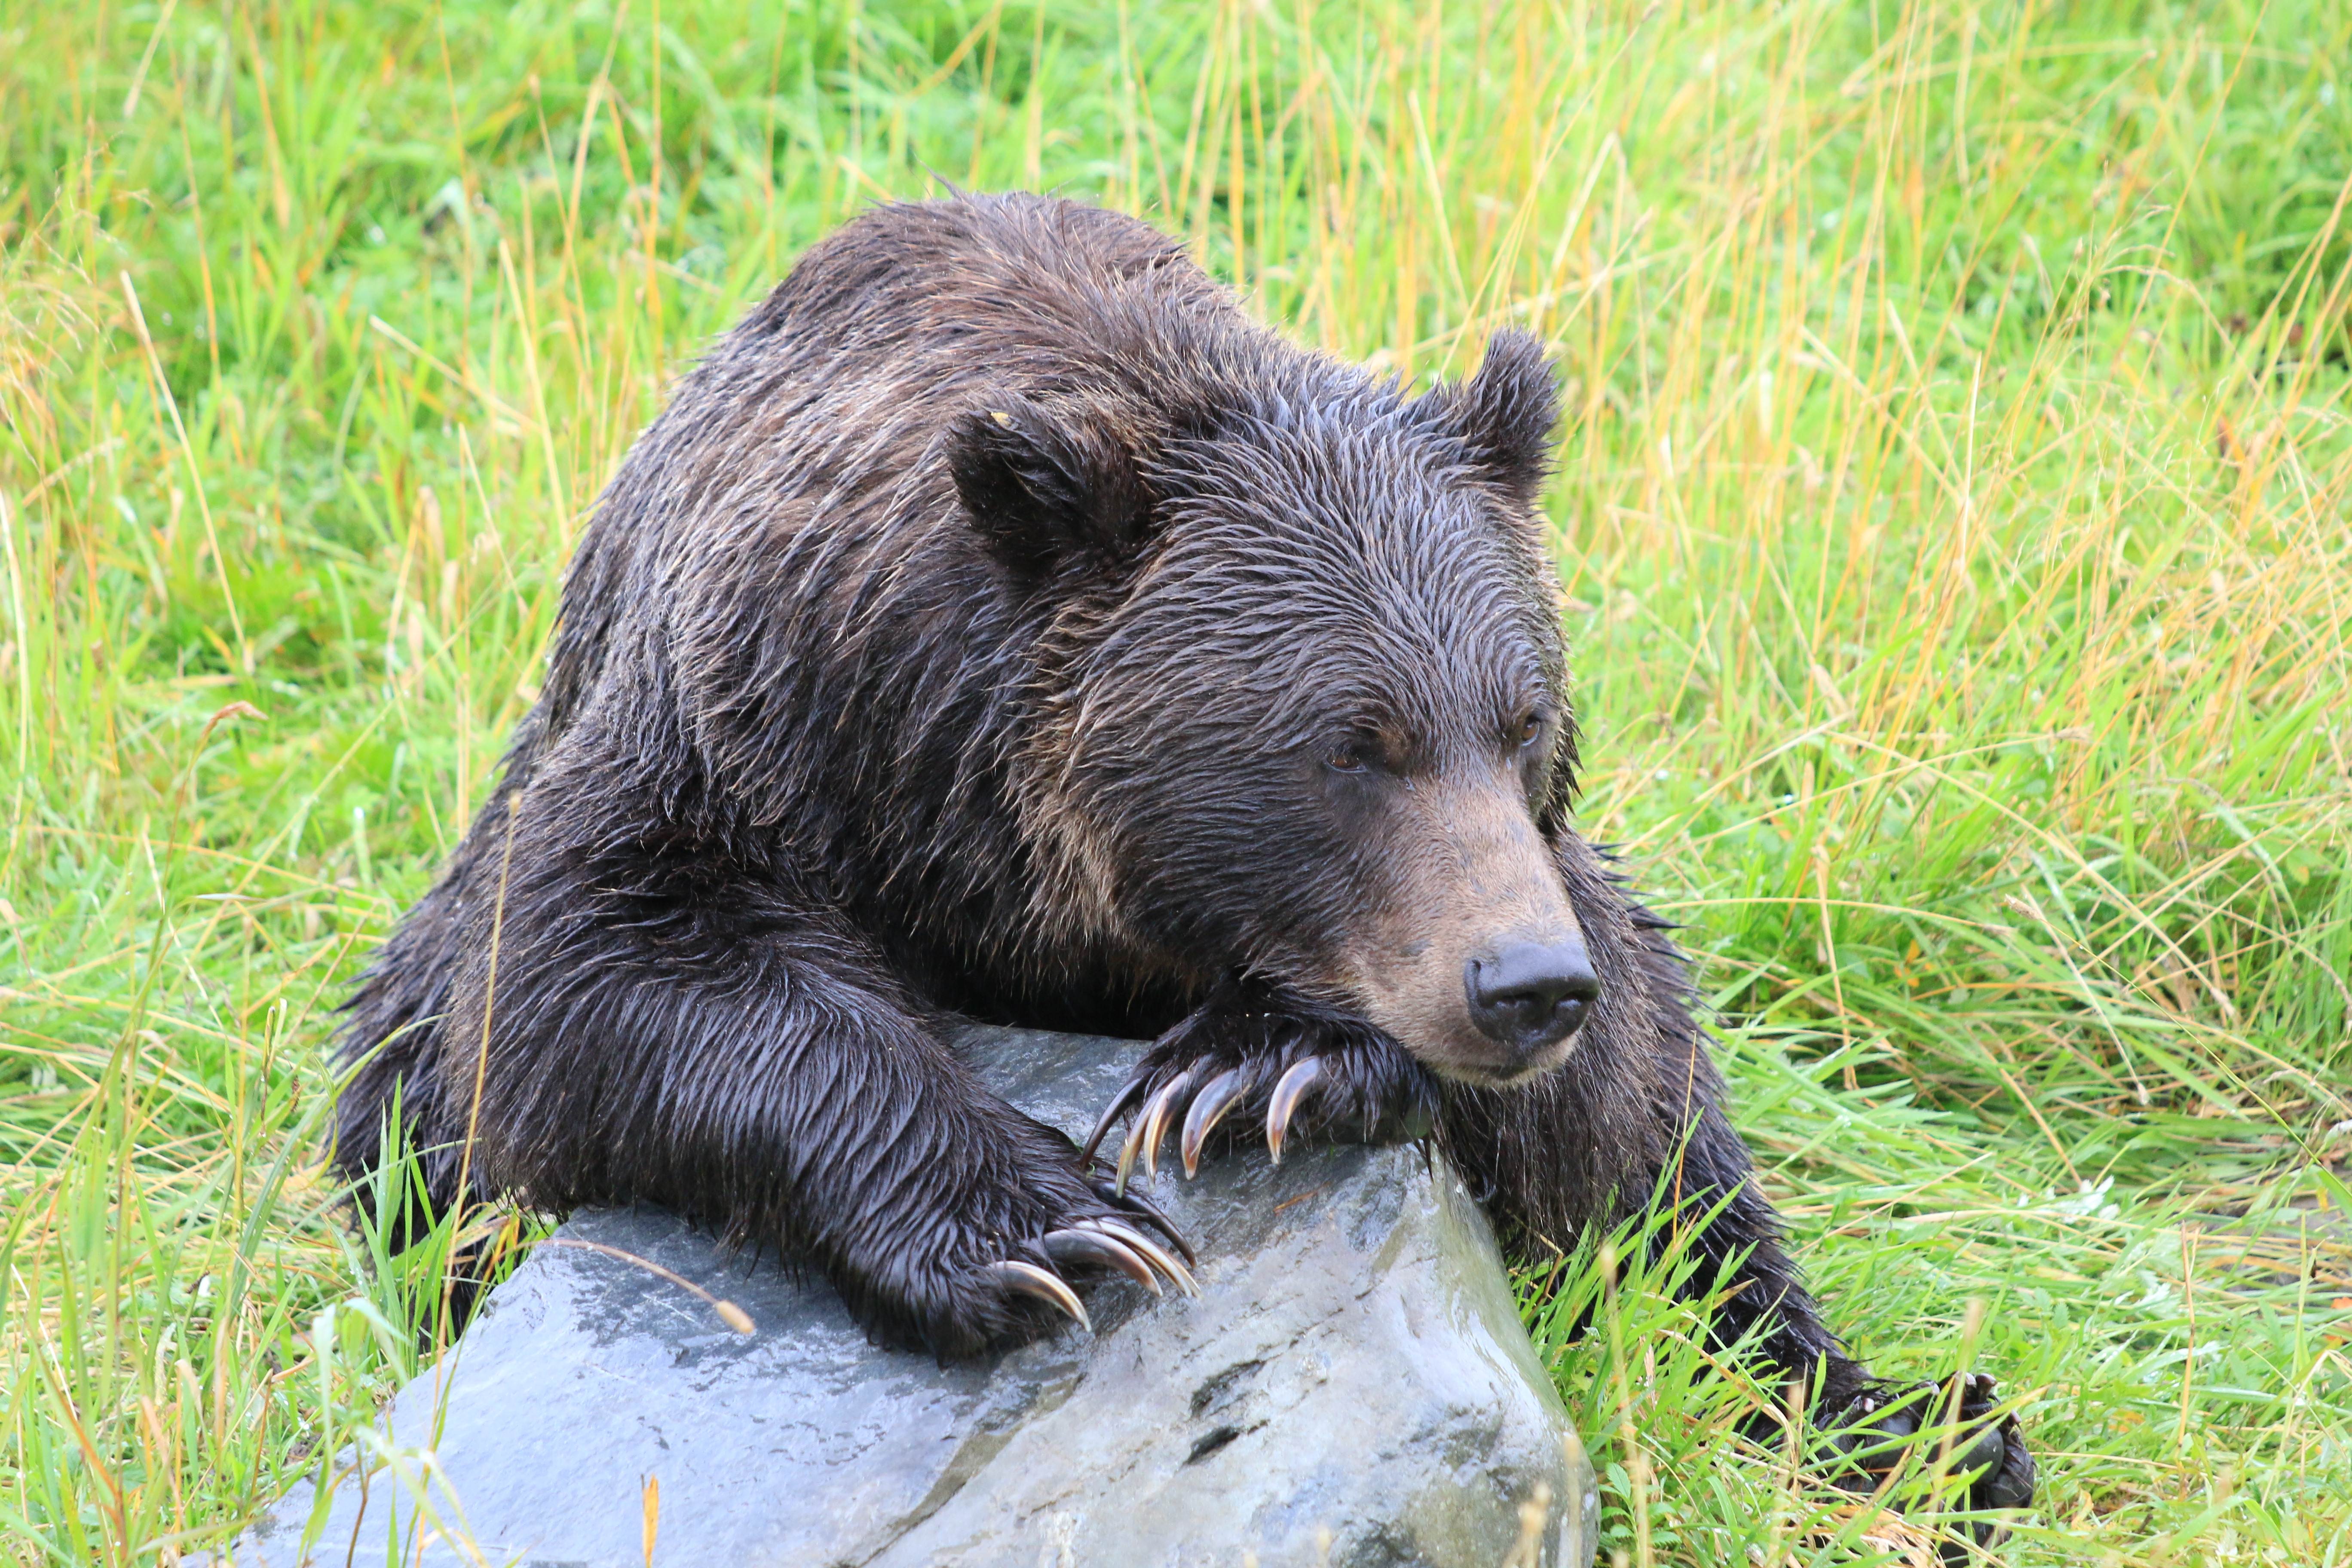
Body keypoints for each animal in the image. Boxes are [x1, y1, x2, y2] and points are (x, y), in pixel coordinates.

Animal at [336, 192, 2030, 1516]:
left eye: (1521, 718)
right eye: (1355, 744)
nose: (1524, 983)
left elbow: (1635, 1134)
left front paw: (1264, 1066)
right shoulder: (746, 728)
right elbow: (573, 982)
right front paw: (1046, 1231)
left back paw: (1934, 1430)